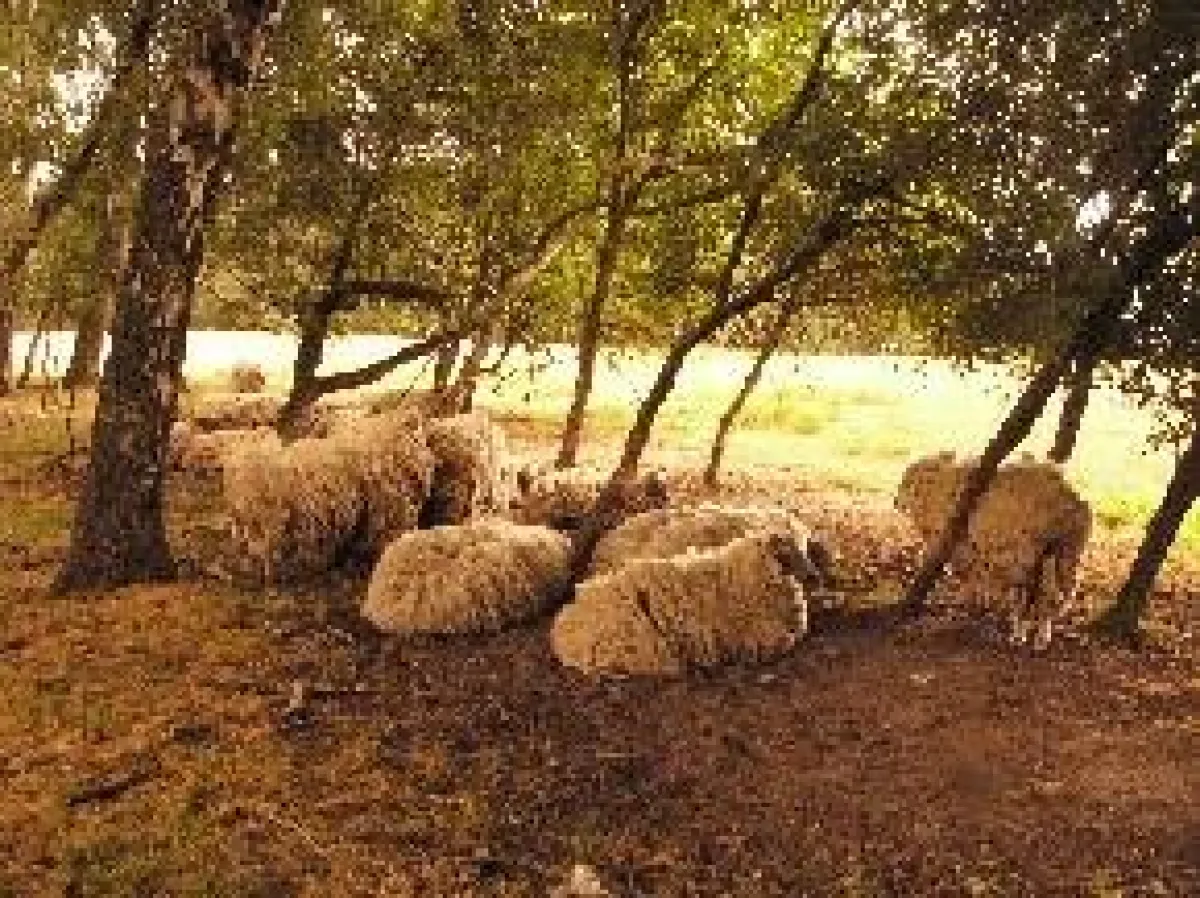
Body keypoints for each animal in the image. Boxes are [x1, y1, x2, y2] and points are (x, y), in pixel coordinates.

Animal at [550, 531, 814, 677]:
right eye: (787, 554)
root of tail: (562, 632)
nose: (814, 576)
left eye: (804, 550)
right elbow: (787, 641)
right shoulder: (761, 637)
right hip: (639, 650)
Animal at [895, 451, 1092, 649]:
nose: (897, 502)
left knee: (1039, 593)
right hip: (1065, 552)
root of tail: (1067, 491)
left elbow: (970, 577)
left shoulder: (965, 546)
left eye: (909, 480)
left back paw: (1029, 635)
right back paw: (1033, 633)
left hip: (1030, 551)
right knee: (1050, 592)